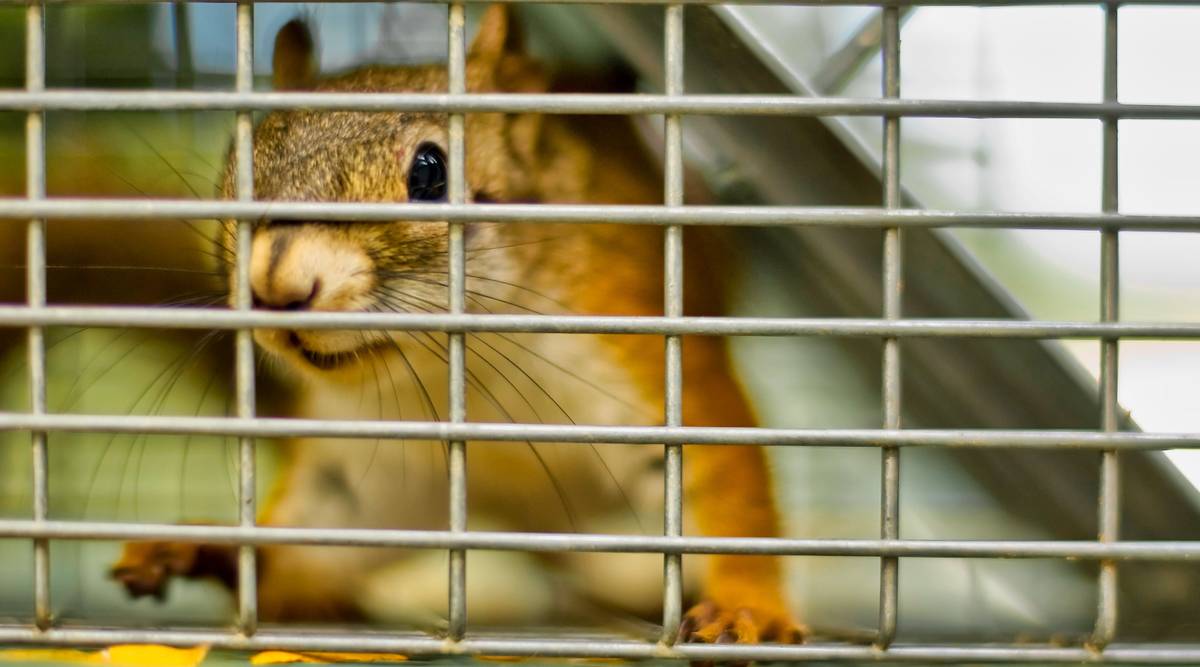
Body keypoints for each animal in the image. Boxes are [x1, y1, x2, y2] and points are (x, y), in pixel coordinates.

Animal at [112, 5, 806, 647]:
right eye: (238, 163)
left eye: (429, 171)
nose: (275, 284)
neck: (467, 374)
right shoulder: (368, 475)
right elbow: (307, 552)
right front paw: (212, 547)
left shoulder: (646, 355)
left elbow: (728, 488)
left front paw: (747, 610)